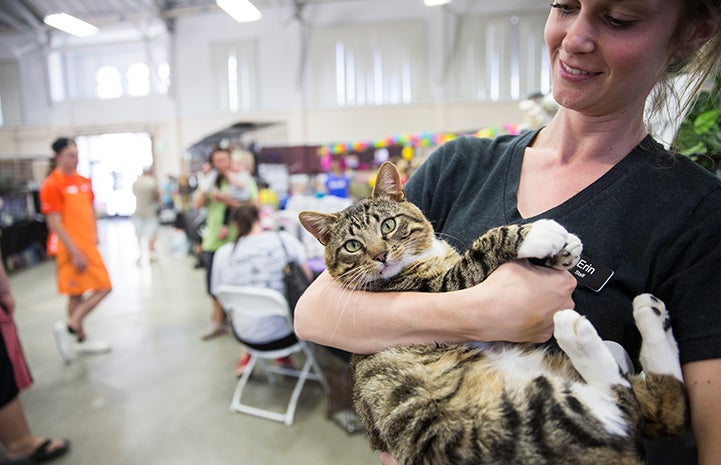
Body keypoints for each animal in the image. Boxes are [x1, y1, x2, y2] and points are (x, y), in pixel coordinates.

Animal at [296, 160, 688, 464]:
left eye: (388, 225)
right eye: (352, 246)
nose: (380, 256)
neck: (422, 258)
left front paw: (565, 251)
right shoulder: (441, 288)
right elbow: (485, 246)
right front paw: (539, 235)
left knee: (661, 406)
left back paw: (649, 315)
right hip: (521, 426)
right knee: (623, 403)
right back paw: (580, 332)